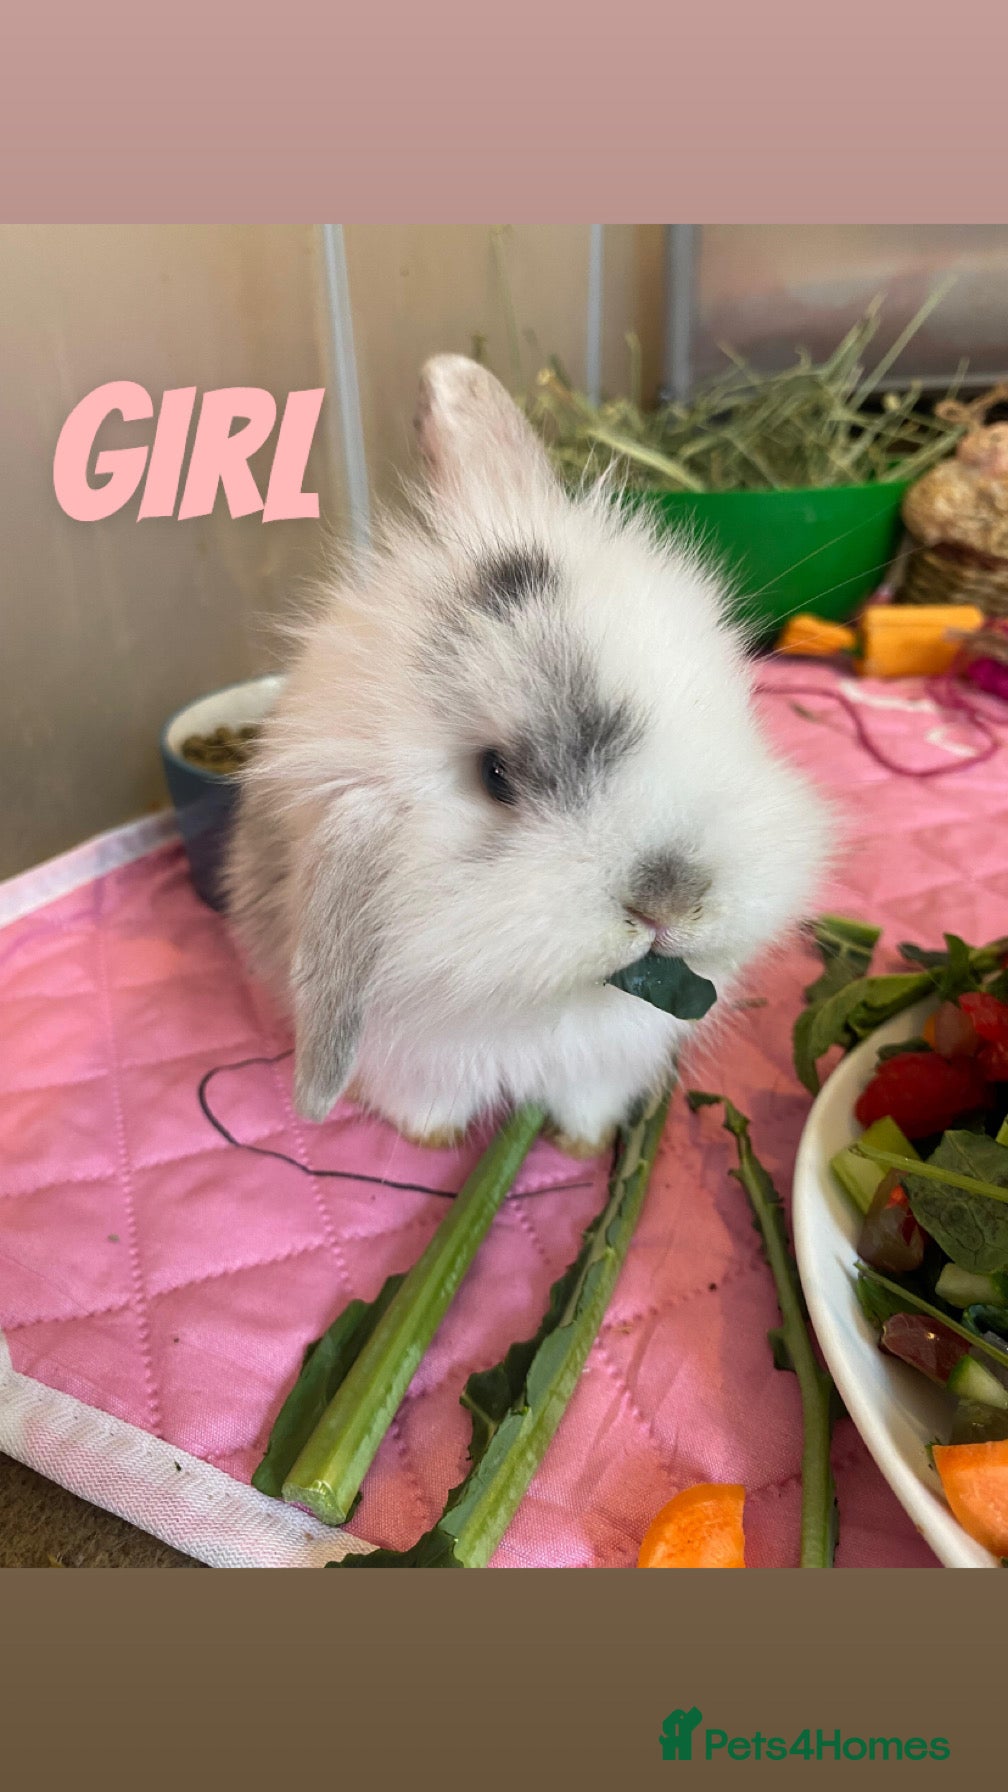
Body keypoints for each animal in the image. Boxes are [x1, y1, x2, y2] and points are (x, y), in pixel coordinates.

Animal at [224, 353, 831, 1156]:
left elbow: (586, 1106)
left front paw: (585, 1145)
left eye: (737, 705)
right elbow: (428, 1105)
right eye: (496, 776)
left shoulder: (603, 1065)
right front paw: (433, 1140)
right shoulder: (412, 1060)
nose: (668, 902)